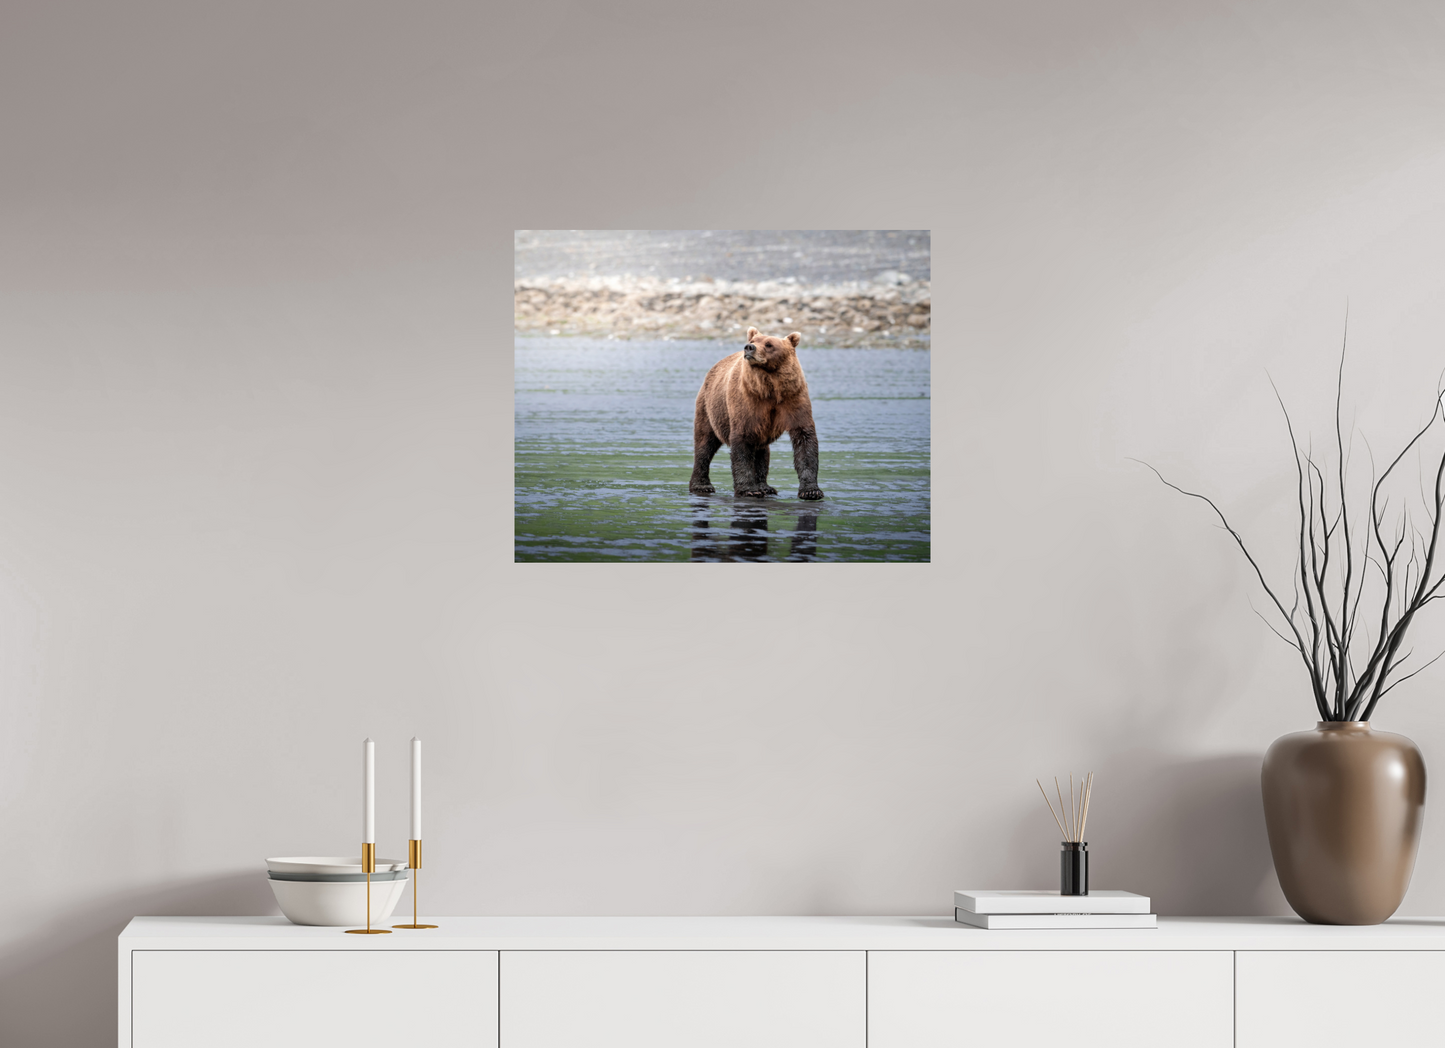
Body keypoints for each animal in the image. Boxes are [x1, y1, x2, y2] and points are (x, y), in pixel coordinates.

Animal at [689, 327, 824, 500]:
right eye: (753, 341)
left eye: (769, 344)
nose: (749, 347)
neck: (770, 387)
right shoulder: (748, 400)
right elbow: (742, 440)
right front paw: (748, 489)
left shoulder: (793, 397)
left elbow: (804, 437)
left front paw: (811, 491)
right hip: (710, 407)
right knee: (705, 443)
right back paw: (702, 485)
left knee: (762, 450)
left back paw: (765, 486)